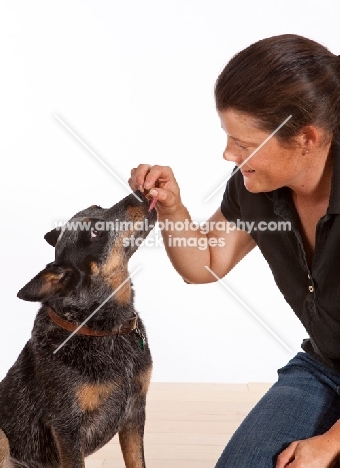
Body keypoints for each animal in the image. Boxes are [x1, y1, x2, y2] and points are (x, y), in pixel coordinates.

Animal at [0, 190, 157, 468]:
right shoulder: (67, 429)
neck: (105, 330)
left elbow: (137, 461)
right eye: (94, 232)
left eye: (99, 206)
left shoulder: (135, 412)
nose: (138, 192)